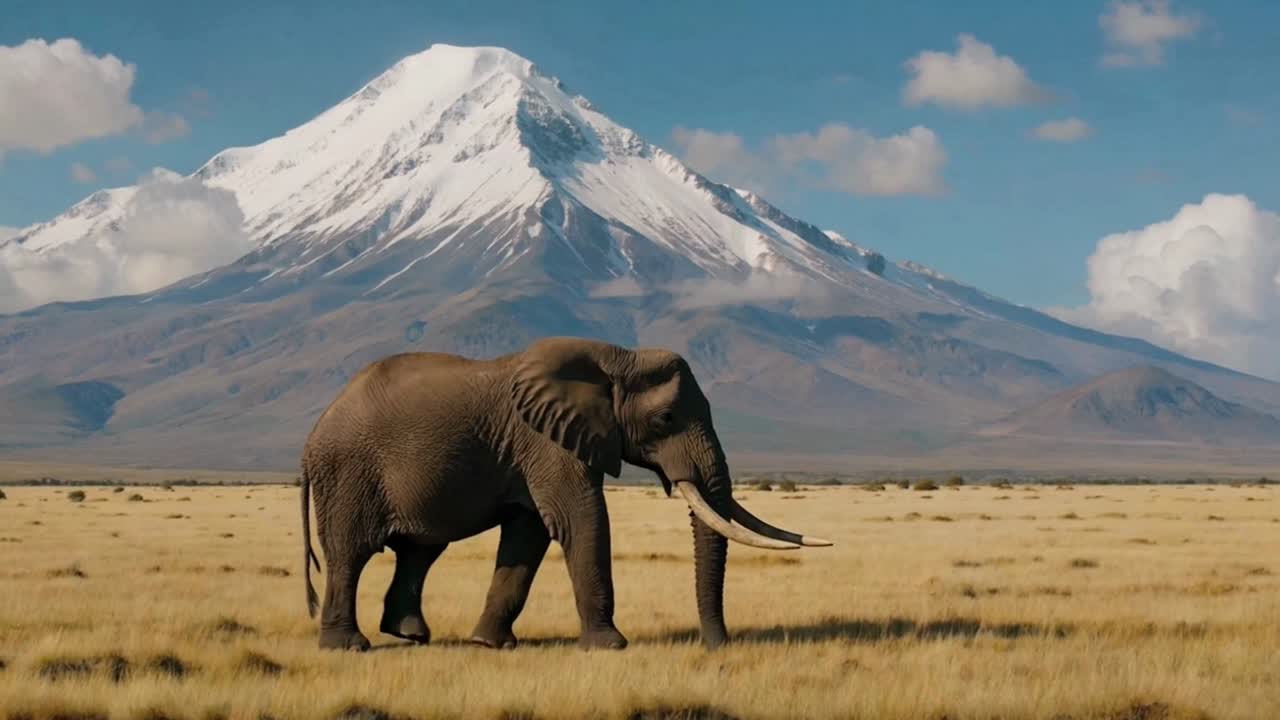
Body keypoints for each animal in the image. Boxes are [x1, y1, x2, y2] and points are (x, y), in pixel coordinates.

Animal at [299, 336, 830, 652]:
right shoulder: (546, 439)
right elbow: (581, 519)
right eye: (665, 420)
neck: (617, 357)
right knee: (350, 553)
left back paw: (411, 636)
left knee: (420, 550)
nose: (718, 645)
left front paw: (490, 645)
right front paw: (611, 646)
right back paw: (349, 647)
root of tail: (312, 437)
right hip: (347, 474)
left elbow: (529, 535)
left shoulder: (535, 447)